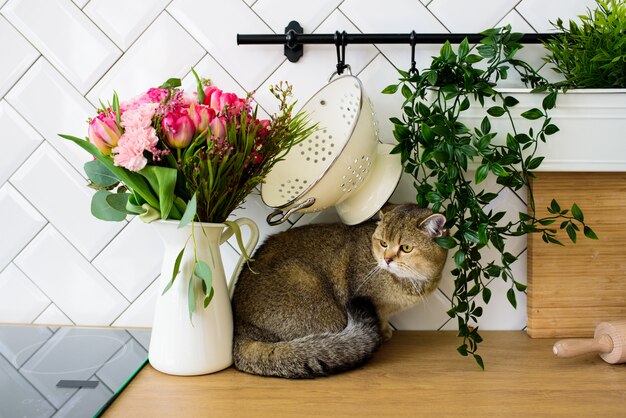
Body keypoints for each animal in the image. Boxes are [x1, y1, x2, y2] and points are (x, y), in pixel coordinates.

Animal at [232, 203, 446, 378]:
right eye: (383, 243)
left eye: (407, 248)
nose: (387, 259)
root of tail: (240, 330)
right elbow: (378, 316)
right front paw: (383, 333)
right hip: (315, 295)